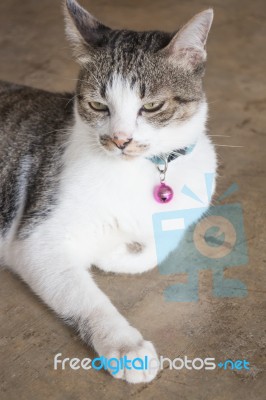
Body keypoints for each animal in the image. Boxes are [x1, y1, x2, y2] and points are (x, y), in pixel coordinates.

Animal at [0, 0, 216, 382]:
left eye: (152, 106)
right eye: (98, 105)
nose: (120, 140)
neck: (140, 170)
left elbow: (154, 248)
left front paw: (116, 250)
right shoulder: (36, 239)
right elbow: (87, 297)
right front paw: (127, 347)